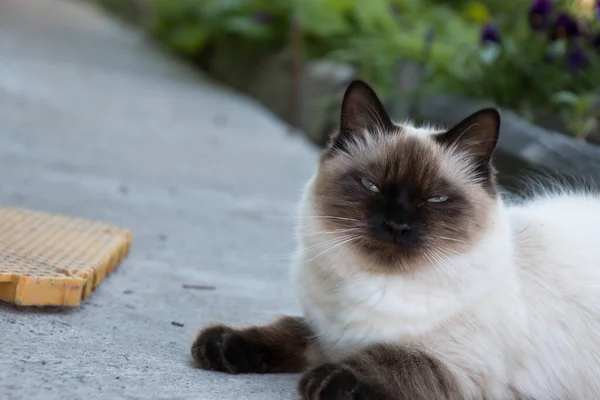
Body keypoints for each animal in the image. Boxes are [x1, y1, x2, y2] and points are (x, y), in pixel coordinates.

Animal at [190, 79, 600, 398]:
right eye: (371, 186)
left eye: (435, 200)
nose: (397, 225)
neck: (374, 285)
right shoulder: (324, 333)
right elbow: (284, 329)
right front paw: (220, 345)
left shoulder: (458, 369)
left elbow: (389, 359)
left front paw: (322, 381)